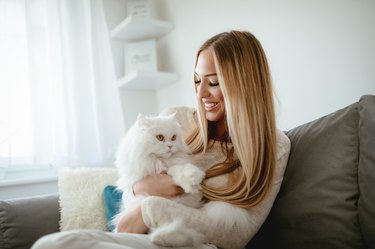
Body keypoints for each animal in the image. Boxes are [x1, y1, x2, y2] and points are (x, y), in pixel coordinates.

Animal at [114, 112, 209, 247]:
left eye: (173, 137)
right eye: (160, 137)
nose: (170, 146)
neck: (160, 162)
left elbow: (180, 169)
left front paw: (193, 178)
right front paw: (191, 181)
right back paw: (161, 238)